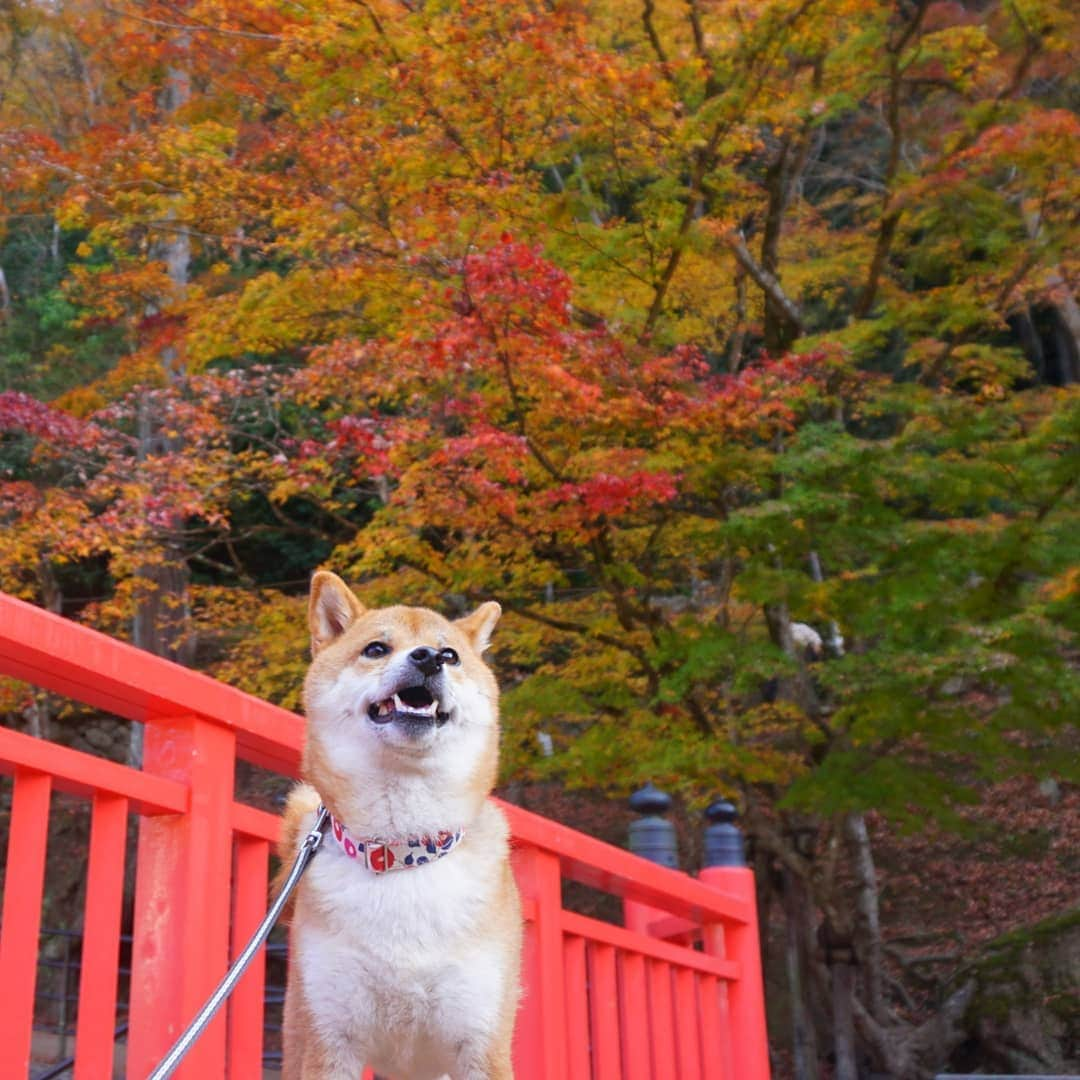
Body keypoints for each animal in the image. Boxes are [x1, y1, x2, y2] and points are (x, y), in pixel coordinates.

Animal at [274, 570, 518, 1075]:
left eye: (451, 655)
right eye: (376, 649)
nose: (428, 658)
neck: (403, 853)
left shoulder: (481, 1044)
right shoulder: (331, 1042)